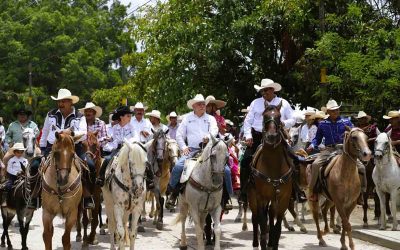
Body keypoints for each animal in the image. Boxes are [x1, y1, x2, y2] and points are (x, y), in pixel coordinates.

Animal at [241, 102, 294, 250]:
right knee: (255, 219)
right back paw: (255, 243)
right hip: (252, 197)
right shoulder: (260, 197)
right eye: (264, 115)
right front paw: (263, 243)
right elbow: (263, 225)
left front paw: (273, 244)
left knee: (270, 215)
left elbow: (276, 228)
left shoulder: (283, 199)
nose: (271, 136)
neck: (273, 165)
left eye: (279, 116)